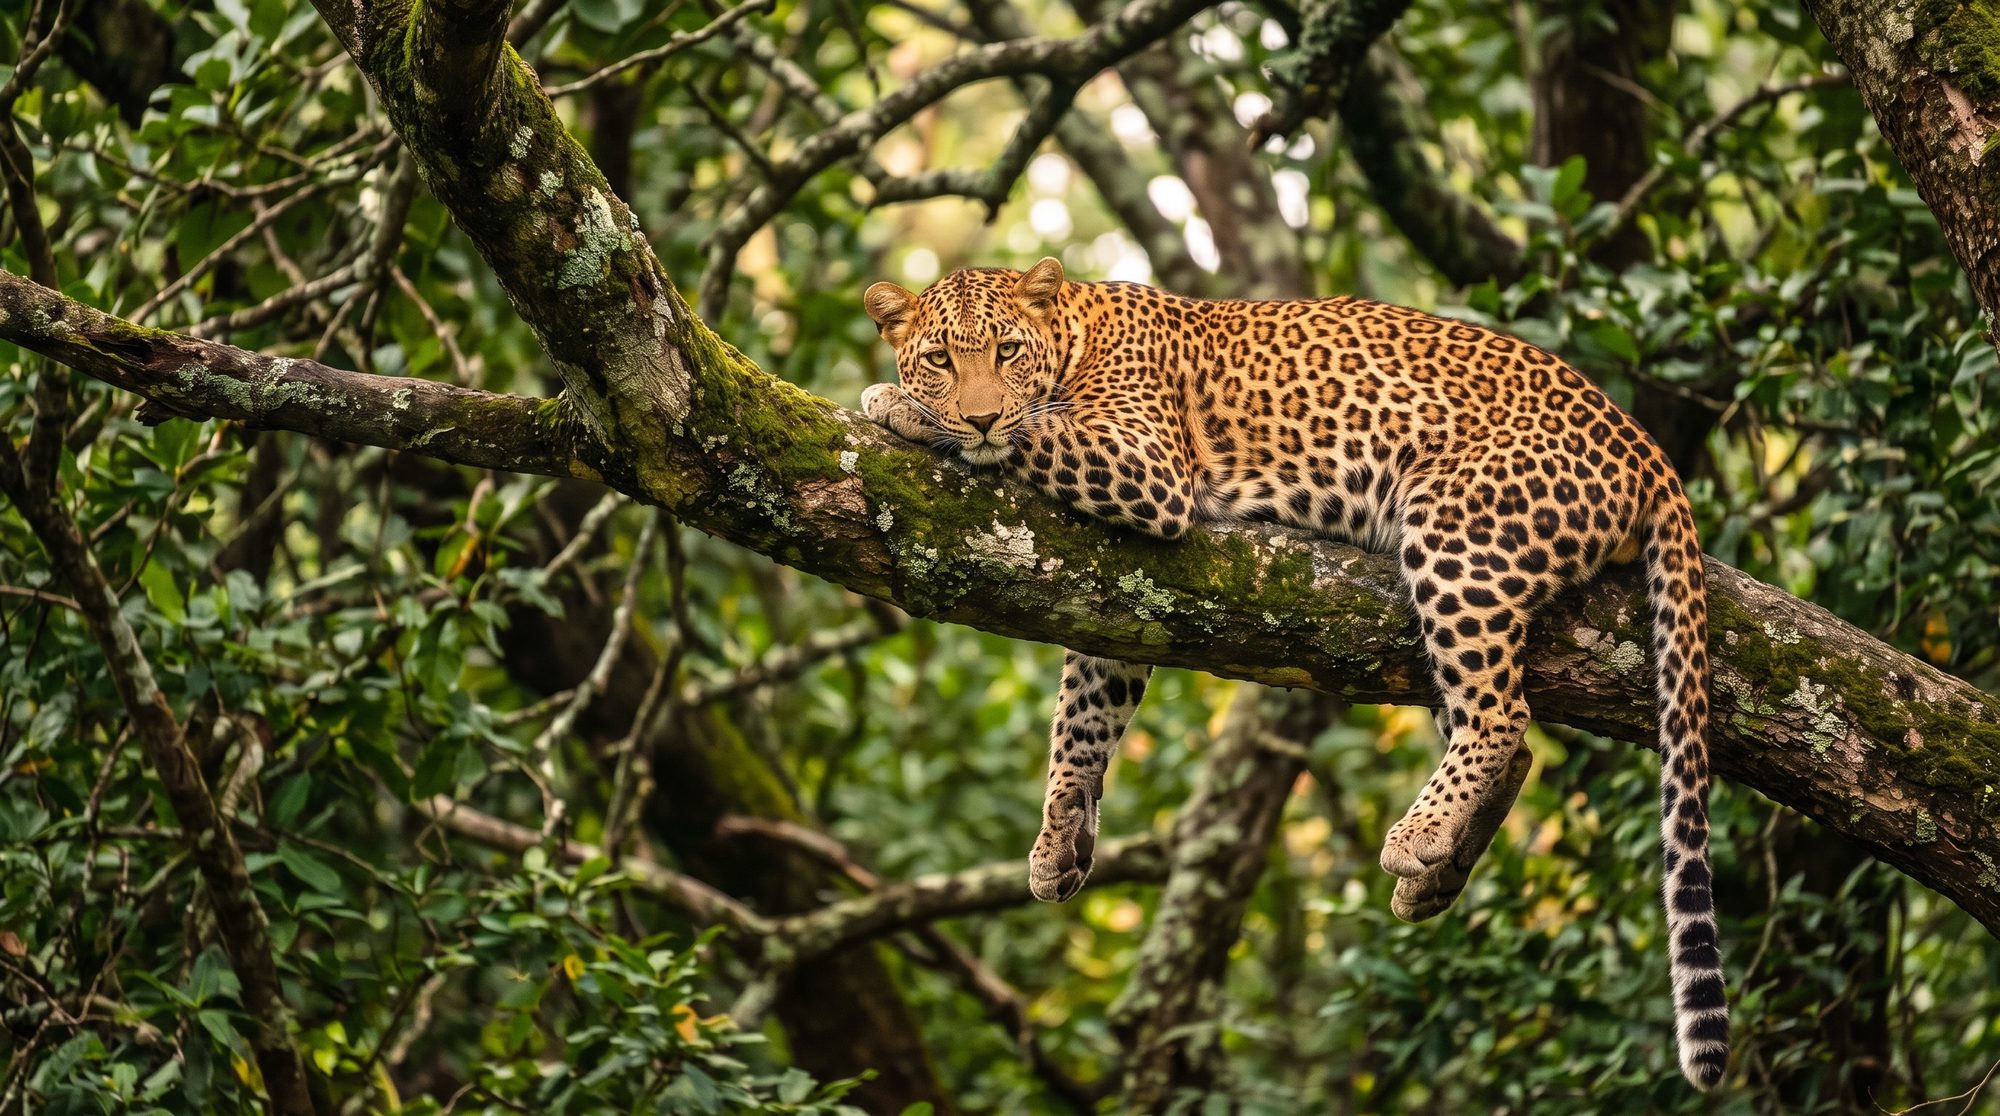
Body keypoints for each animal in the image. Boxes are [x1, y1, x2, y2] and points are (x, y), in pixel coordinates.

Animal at [860, 257, 1729, 1090]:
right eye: (940, 359)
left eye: (1007, 351)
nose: (977, 413)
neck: (1076, 334)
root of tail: (1646, 445)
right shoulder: (1110, 592)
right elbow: (1082, 719)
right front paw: (1058, 839)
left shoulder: (1147, 472)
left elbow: (1037, 431)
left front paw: (901, 408)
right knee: (1507, 739)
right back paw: (1437, 875)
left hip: (1459, 538)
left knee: (1500, 714)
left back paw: (1415, 838)